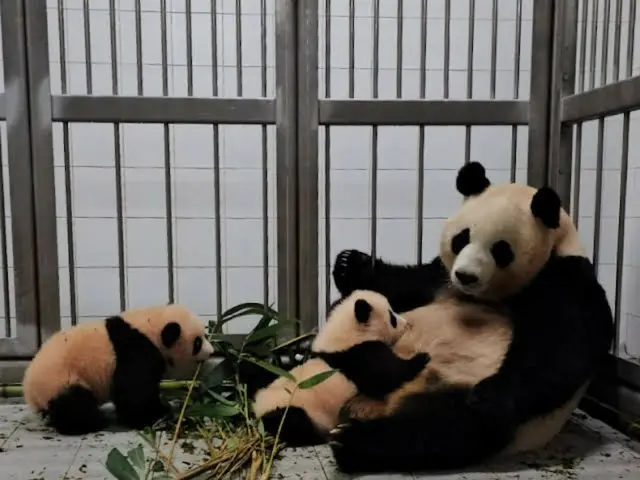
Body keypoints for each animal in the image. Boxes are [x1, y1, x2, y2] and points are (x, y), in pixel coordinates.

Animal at [328, 161, 612, 472]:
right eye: (461, 238)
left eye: (501, 250)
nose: (465, 276)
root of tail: (381, 404)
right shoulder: (439, 277)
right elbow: (404, 284)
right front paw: (349, 263)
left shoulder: (566, 282)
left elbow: (557, 351)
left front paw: (488, 397)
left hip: (458, 387)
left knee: (441, 428)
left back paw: (352, 442)